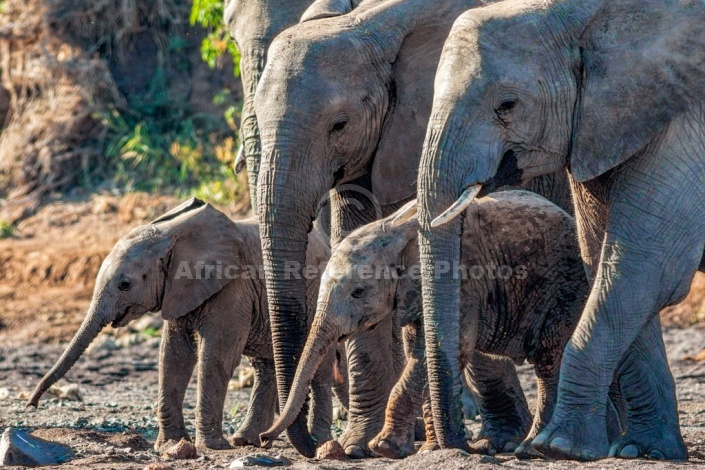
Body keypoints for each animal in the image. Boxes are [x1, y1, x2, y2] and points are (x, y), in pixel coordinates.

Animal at [26, 197, 336, 452]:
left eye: (125, 285)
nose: (32, 404)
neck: (170, 235)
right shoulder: (179, 291)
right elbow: (174, 355)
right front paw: (171, 445)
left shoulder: (234, 287)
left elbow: (217, 356)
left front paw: (212, 446)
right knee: (266, 366)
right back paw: (249, 440)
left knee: (317, 368)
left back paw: (317, 441)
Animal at [258, 189, 588, 458]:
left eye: (358, 292)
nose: (263, 439)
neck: (393, 228)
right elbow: (419, 349)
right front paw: (427, 449)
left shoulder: (463, 283)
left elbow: (445, 349)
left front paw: (385, 448)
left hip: (565, 287)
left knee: (548, 361)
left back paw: (531, 448)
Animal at [416, 0, 700, 458]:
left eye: (508, 104)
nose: (466, 448)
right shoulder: (604, 125)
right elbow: (603, 257)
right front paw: (643, 452)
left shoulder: (686, 123)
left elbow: (649, 266)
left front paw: (558, 447)